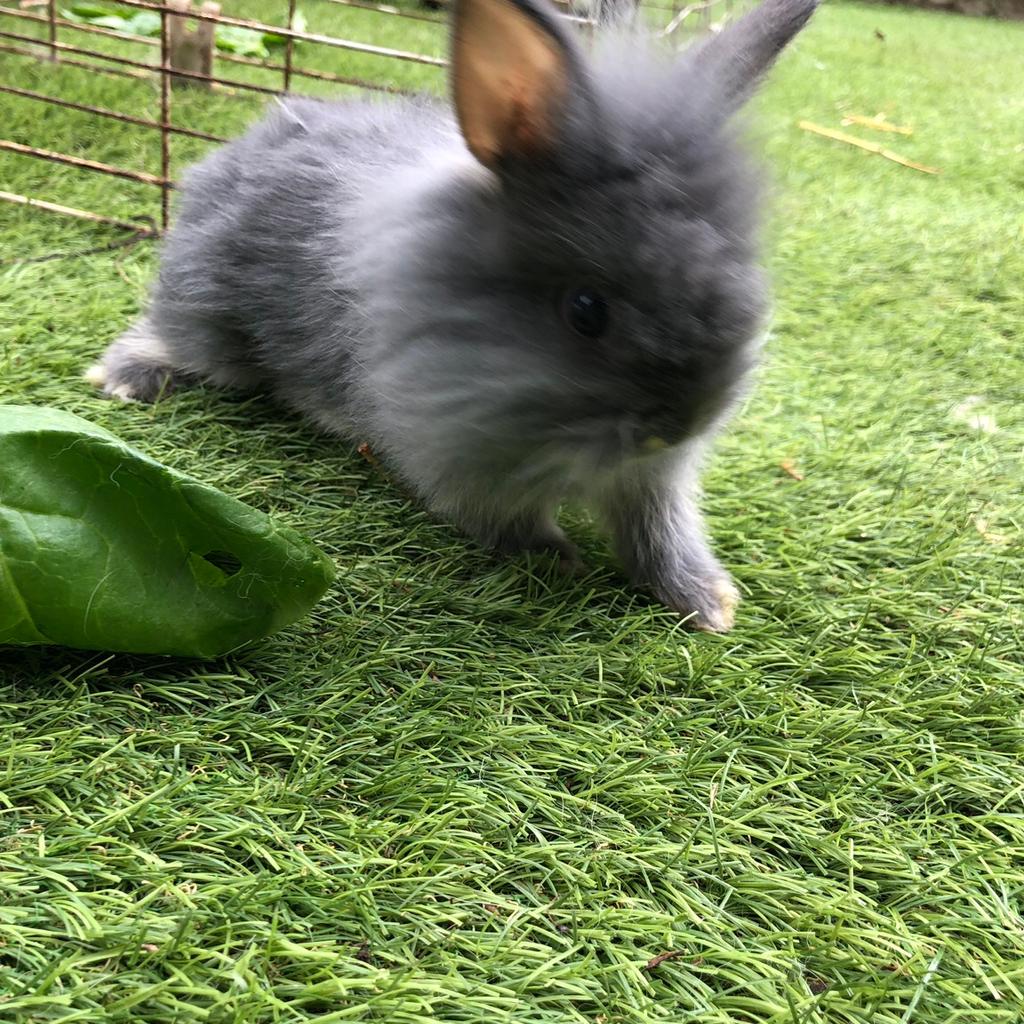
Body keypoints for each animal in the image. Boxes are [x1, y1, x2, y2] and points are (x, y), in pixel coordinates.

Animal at [88, 0, 818, 632]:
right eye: (586, 310)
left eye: (742, 283)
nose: (678, 425)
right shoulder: (461, 458)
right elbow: (505, 520)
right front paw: (557, 562)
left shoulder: (652, 482)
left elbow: (660, 535)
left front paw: (710, 603)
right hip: (208, 311)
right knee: (170, 335)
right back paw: (121, 380)